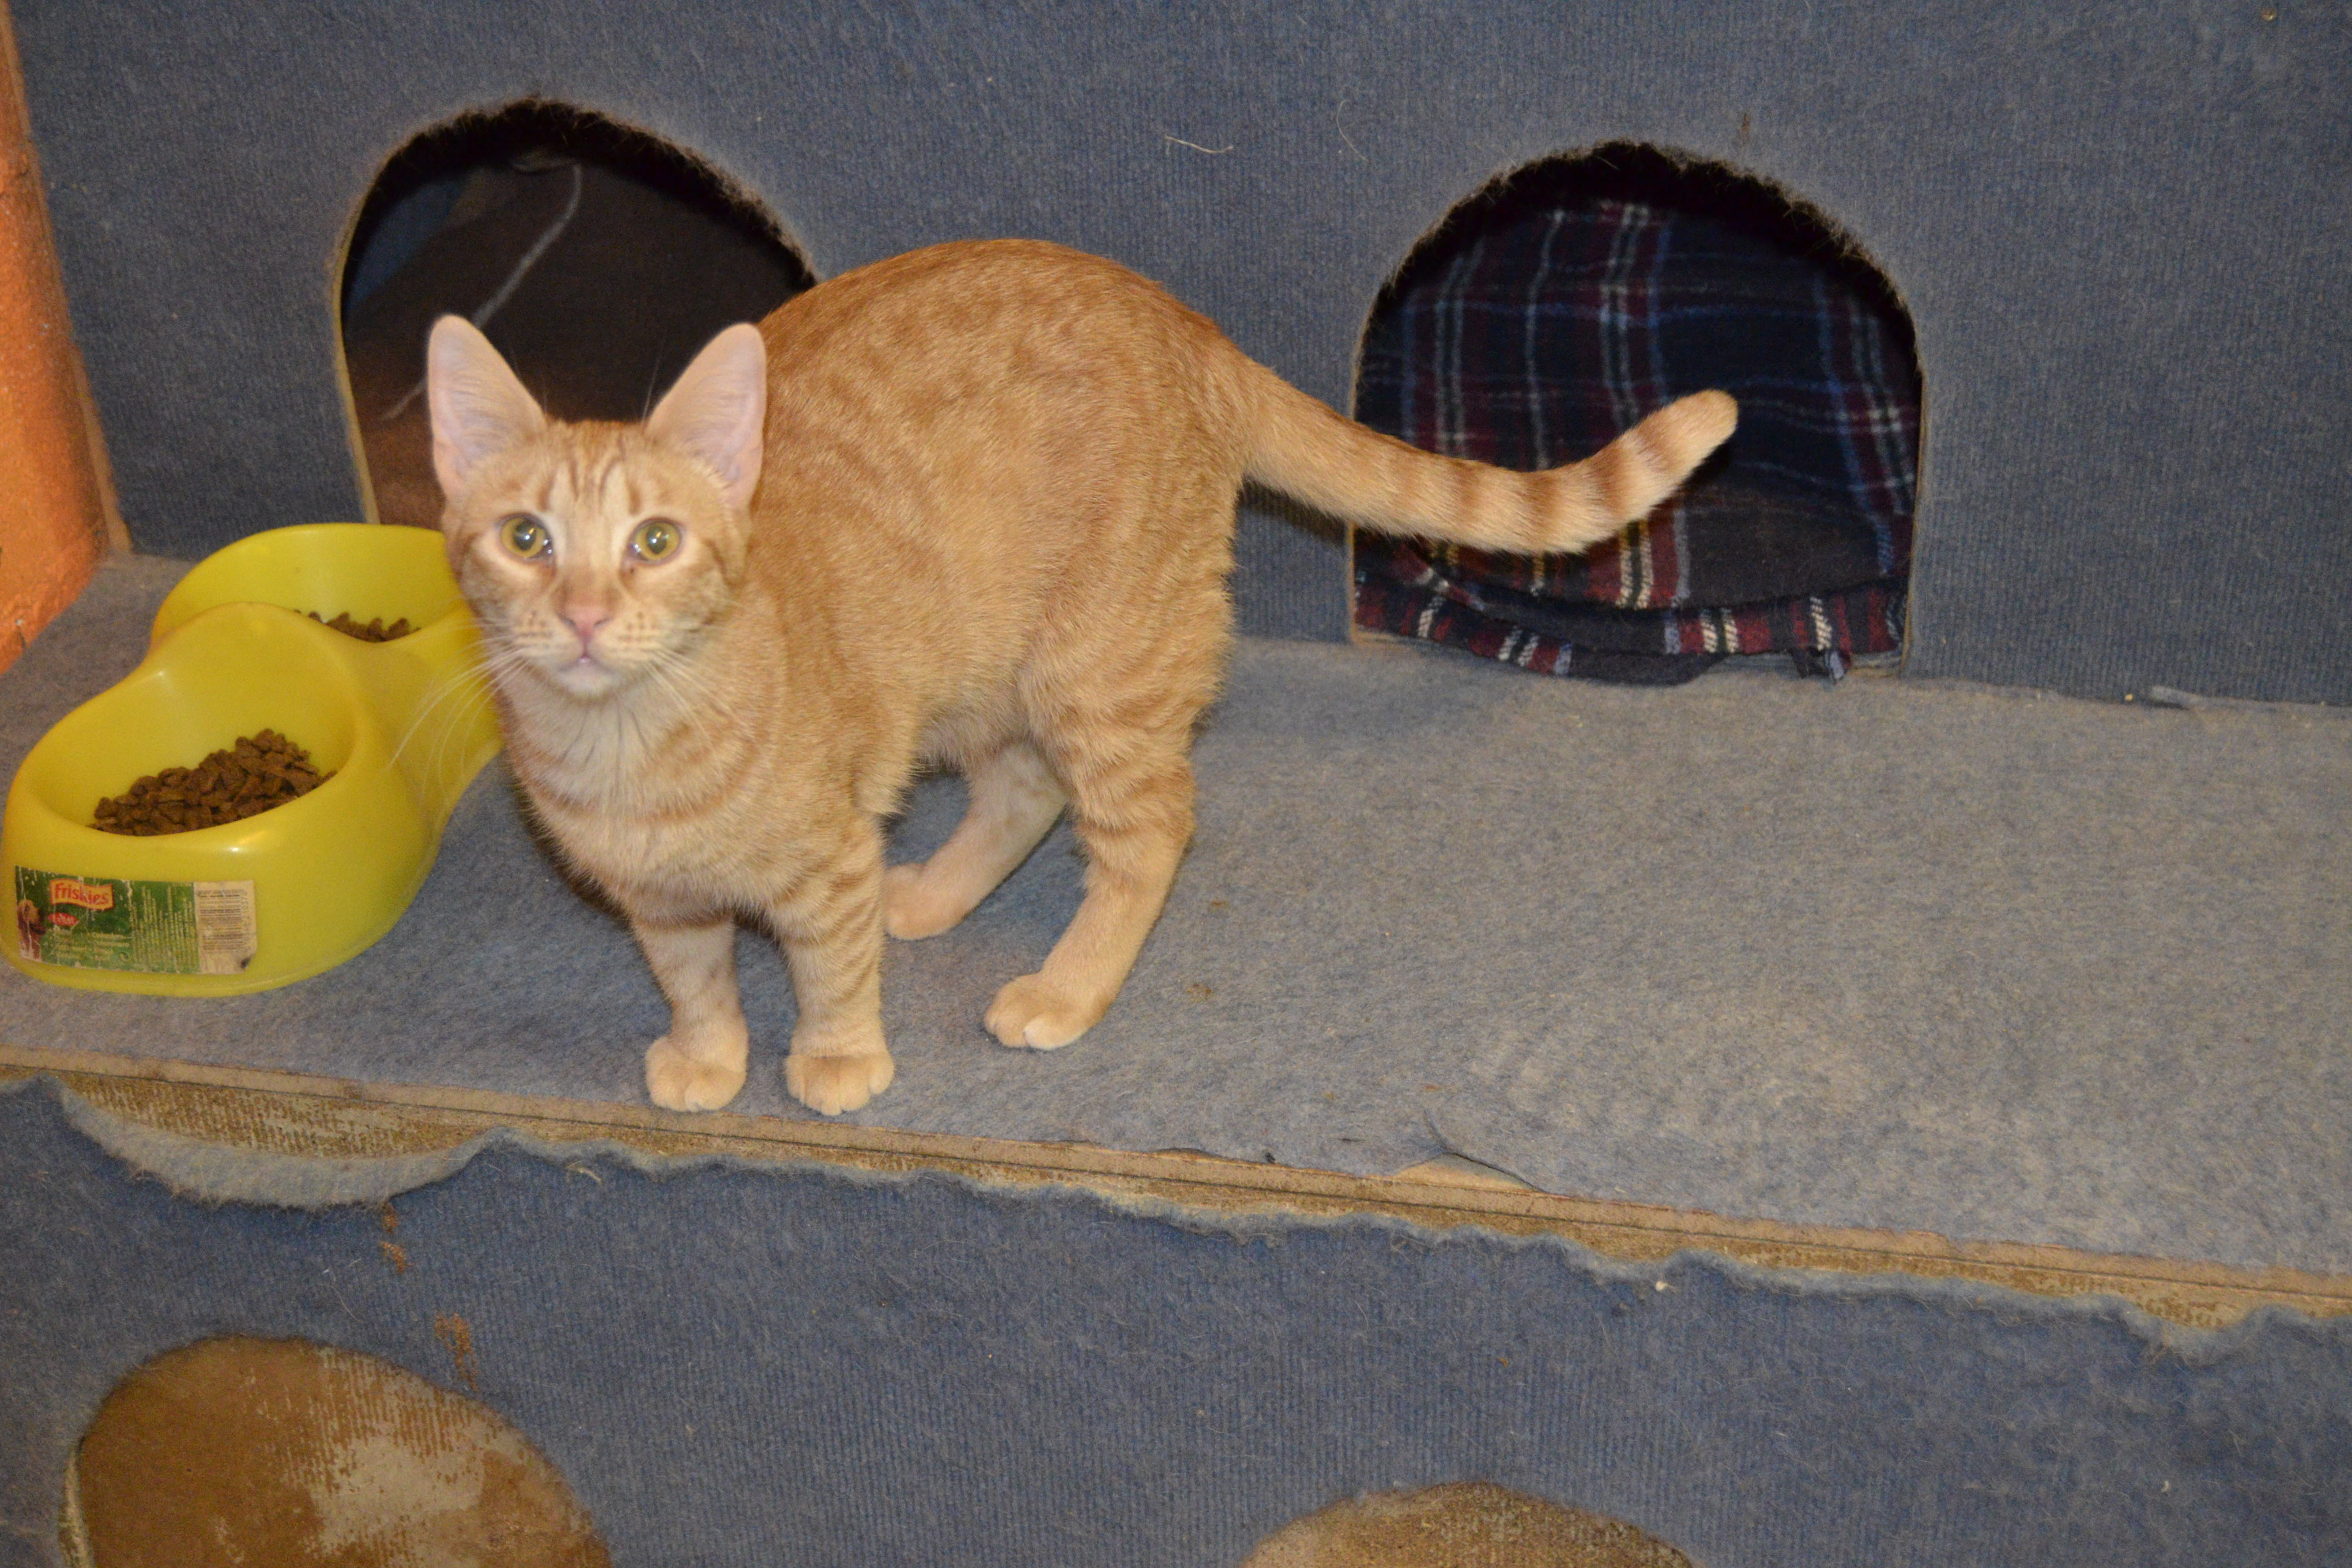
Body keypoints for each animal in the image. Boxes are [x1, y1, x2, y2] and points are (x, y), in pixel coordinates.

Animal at [426, 239, 1735, 1116]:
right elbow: (695, 979)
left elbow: (829, 969)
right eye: (527, 539)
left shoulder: (824, 859)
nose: (584, 616)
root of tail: (1182, 318)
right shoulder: (660, 904)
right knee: (1026, 791)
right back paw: (936, 895)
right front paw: (709, 1056)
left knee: (1149, 828)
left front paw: (835, 1057)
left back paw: (1068, 986)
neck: (631, 744)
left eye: (655, 542)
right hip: (992, 670)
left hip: (1099, 671)